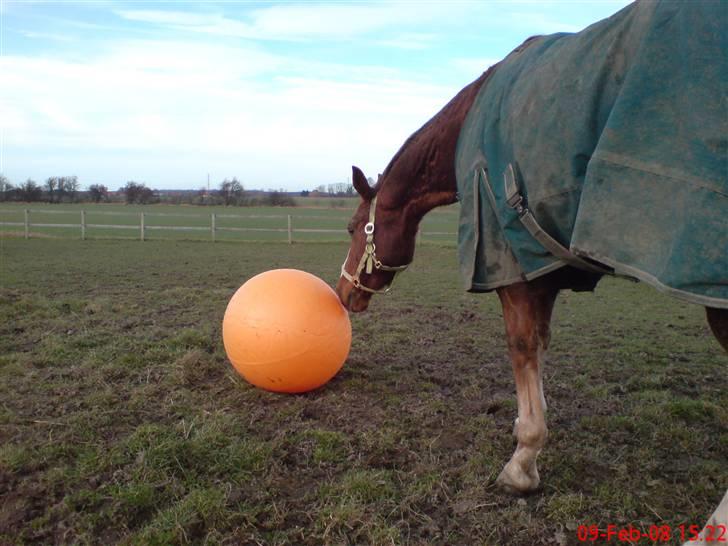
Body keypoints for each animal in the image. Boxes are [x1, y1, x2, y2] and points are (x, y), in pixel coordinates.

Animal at [336, 72, 728, 492]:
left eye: (352, 227)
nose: (342, 293)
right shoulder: (542, 271)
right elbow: (540, 345)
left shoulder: (514, 275)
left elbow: (522, 348)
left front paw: (523, 460)